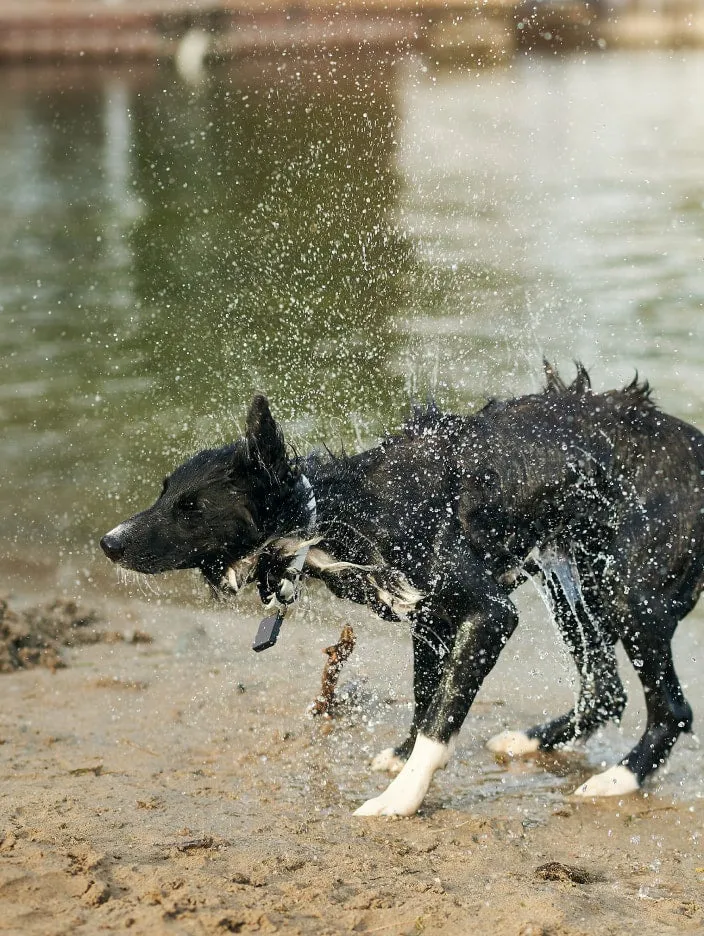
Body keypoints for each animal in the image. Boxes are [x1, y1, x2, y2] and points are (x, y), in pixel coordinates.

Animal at [99, 362, 704, 816]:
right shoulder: (430, 619)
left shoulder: (490, 615)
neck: (338, 518)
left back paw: (620, 779)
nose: (108, 543)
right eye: (163, 492)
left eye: (191, 507)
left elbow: (441, 718)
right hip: (575, 580)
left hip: (626, 594)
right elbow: (425, 698)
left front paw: (401, 797)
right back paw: (530, 741)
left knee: (671, 708)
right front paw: (402, 753)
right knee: (607, 690)